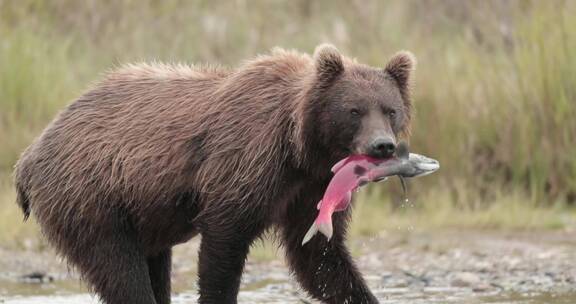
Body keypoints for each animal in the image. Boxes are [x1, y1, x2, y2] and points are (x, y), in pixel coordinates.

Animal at [13, 43, 414, 304]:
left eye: (390, 109)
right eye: (354, 110)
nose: (382, 146)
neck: (301, 147)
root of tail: (29, 156)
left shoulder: (311, 188)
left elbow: (319, 256)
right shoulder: (245, 163)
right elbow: (225, 244)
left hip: (141, 217)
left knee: (152, 266)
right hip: (92, 197)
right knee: (120, 269)